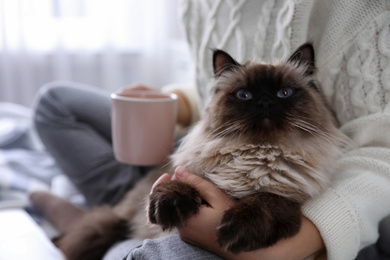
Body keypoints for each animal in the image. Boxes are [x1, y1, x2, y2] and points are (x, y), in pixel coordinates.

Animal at [52, 43, 350, 260]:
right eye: (244, 95)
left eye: (284, 93)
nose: (265, 102)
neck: (256, 152)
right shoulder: (193, 173)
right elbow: (183, 183)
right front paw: (169, 206)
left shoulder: (286, 198)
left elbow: (263, 200)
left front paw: (236, 230)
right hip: (106, 228)